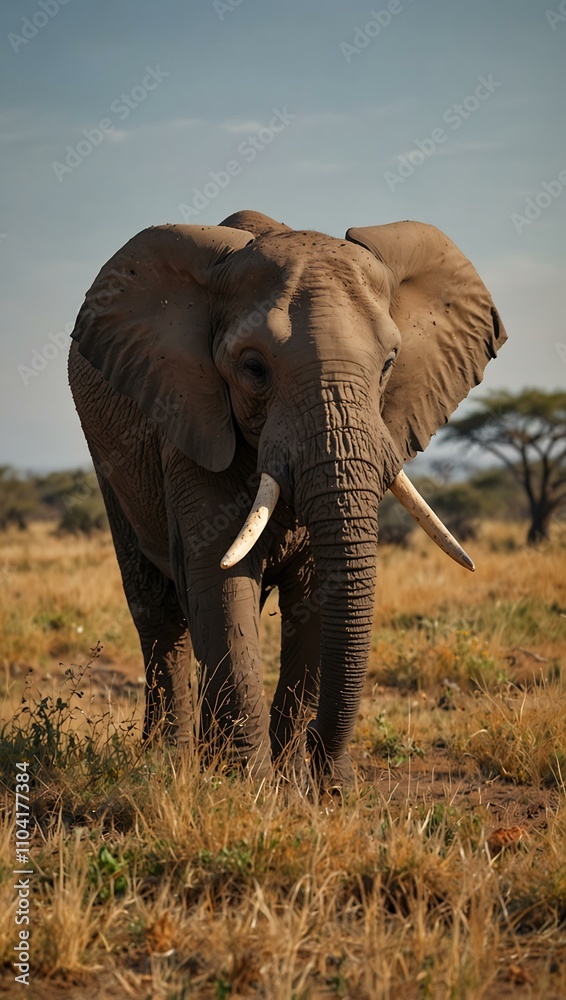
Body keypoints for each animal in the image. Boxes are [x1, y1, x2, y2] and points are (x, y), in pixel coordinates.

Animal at [68, 209, 506, 787]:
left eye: (389, 363)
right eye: (253, 368)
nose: (333, 772)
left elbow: (318, 589)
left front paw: (299, 788)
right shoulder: (191, 420)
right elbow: (217, 577)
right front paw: (249, 787)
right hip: (109, 458)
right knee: (160, 611)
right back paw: (169, 761)